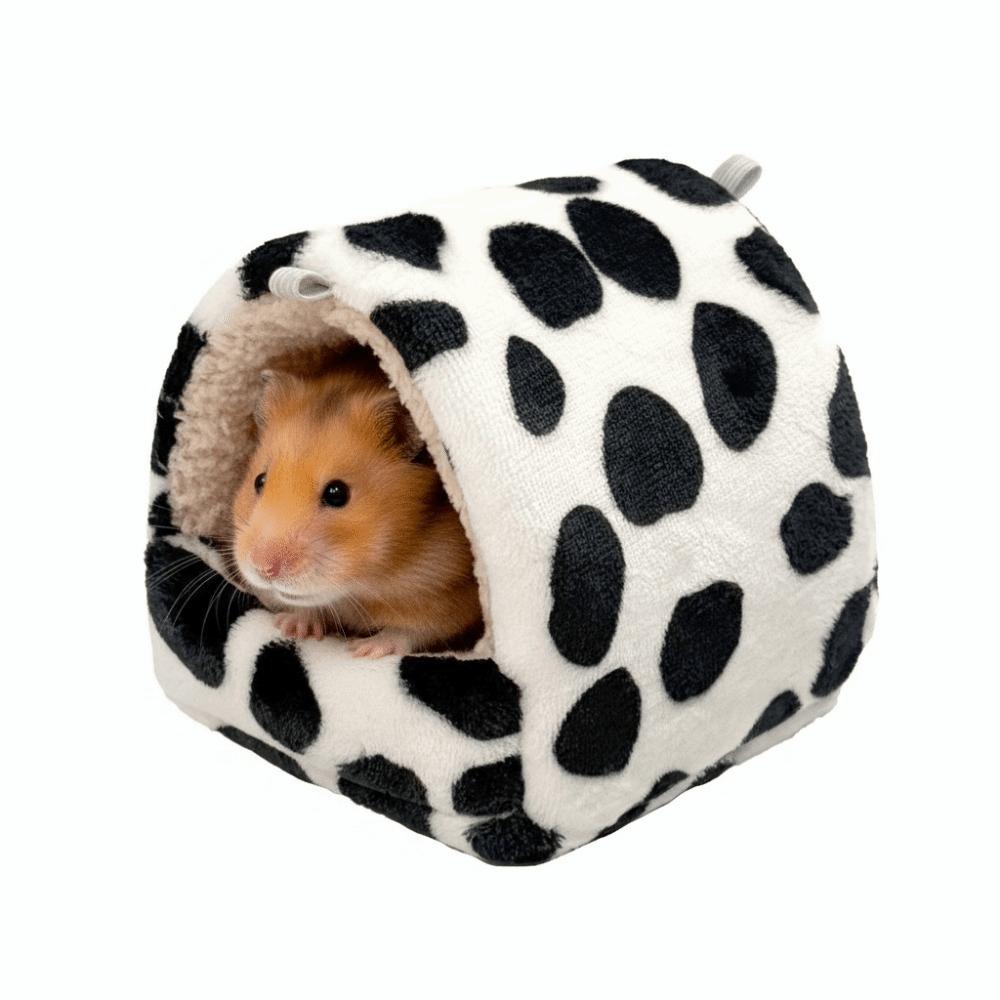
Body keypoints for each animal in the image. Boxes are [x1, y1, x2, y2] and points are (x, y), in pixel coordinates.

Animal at [231, 348, 483, 658]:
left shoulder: (450, 597)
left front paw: (363, 649)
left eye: (337, 493)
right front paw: (291, 626)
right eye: (259, 481)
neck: (360, 587)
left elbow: (411, 631)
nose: (263, 568)